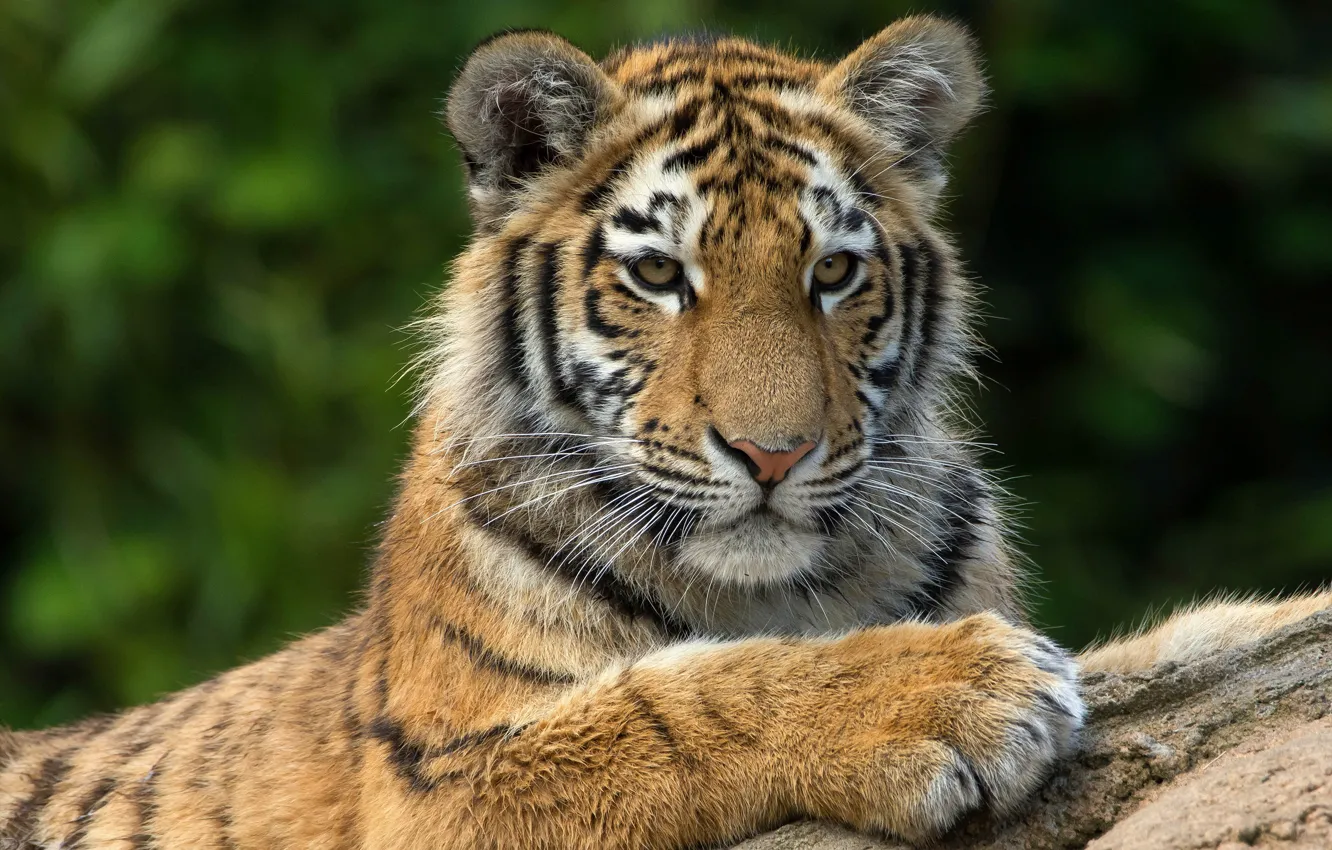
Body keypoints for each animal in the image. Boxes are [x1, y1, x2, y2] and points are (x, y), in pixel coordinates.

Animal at [3, 15, 1329, 850]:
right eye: (658, 275)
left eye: (833, 272)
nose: (775, 454)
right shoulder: (439, 780)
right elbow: (678, 701)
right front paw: (951, 690)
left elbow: (1190, 640)